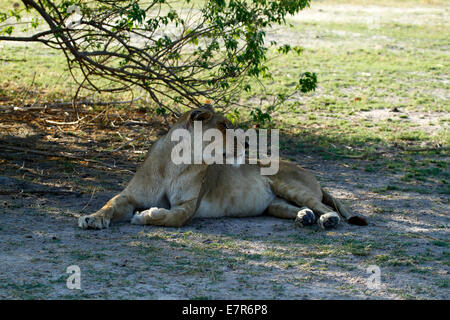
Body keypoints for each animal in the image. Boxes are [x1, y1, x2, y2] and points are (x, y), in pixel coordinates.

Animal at [76, 105, 366, 230]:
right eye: (224, 125)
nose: (247, 143)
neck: (175, 163)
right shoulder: (130, 196)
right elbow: (110, 204)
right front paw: (92, 218)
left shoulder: (189, 207)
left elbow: (171, 218)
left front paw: (144, 215)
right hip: (275, 204)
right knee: (299, 208)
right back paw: (304, 217)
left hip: (289, 184)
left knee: (325, 207)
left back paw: (328, 219)